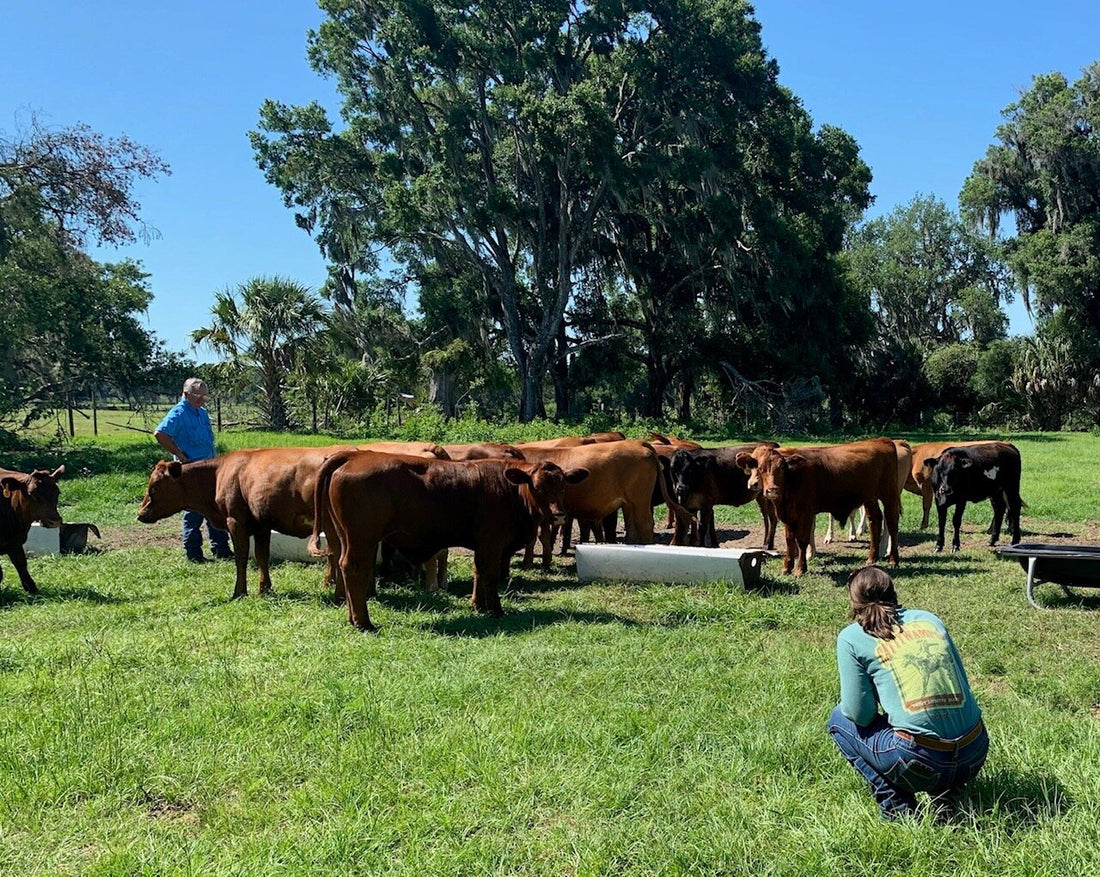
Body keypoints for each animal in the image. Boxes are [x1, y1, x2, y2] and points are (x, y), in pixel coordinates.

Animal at [0, 464, 64, 594]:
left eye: (58, 492)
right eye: (32, 494)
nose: (55, 521)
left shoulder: (14, 542)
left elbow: (21, 563)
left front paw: (31, 588)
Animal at [305, 451, 589, 629]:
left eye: (563, 486)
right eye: (537, 487)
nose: (559, 514)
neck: (511, 491)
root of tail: (355, 455)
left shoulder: (483, 545)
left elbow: (478, 572)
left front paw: (478, 605)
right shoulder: (492, 543)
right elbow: (489, 575)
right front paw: (495, 610)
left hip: (344, 536)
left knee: (344, 567)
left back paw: (353, 618)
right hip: (362, 538)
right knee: (354, 569)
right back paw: (364, 623)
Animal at [739, 437, 902, 576]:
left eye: (782, 468)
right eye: (760, 468)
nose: (772, 490)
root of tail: (882, 440)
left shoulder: (806, 513)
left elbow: (802, 540)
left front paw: (800, 569)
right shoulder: (788, 515)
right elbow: (790, 540)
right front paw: (786, 567)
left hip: (890, 495)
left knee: (892, 524)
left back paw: (893, 560)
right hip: (870, 498)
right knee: (875, 520)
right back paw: (871, 558)